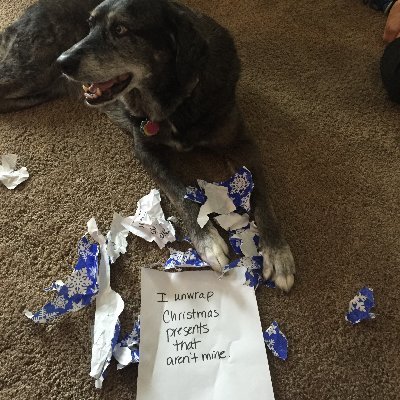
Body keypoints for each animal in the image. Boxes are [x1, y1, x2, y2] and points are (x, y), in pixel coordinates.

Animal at [0, 0, 294, 290]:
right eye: (89, 25)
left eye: (120, 29)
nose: (62, 61)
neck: (175, 97)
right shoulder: (146, 151)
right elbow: (180, 192)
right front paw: (208, 240)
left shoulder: (242, 143)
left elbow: (262, 196)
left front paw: (277, 252)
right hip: (29, 72)